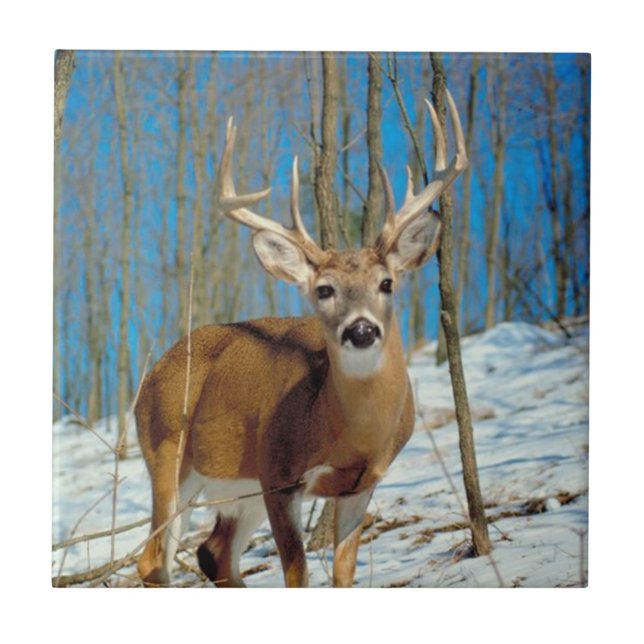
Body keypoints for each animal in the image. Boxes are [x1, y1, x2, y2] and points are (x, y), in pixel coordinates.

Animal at [135, 89, 468, 588]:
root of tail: (149, 379)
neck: (345, 433)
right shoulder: (279, 475)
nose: (362, 329)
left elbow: (343, 574)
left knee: (214, 553)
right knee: (155, 560)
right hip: (167, 456)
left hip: (239, 489)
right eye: (323, 290)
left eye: (387, 282)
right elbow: (298, 574)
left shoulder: (361, 484)